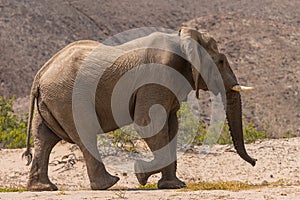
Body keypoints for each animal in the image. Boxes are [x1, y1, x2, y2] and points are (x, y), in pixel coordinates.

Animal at [22, 27, 256, 191]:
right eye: (221, 61)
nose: (254, 162)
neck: (183, 38)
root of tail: (40, 74)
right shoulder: (156, 78)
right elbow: (147, 124)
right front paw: (140, 174)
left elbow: (171, 126)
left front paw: (173, 186)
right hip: (68, 97)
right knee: (83, 135)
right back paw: (109, 183)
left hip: (52, 100)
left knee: (44, 139)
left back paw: (43, 188)